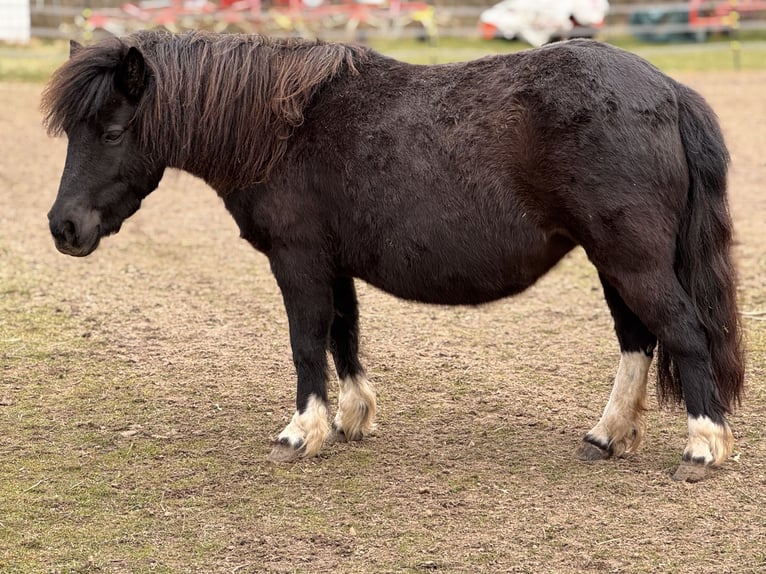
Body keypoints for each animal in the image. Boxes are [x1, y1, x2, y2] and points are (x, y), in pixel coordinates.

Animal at [42, 30, 744, 482]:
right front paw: (351, 419)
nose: (63, 227)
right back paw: (607, 436)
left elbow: (306, 340)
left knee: (682, 332)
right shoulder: (331, 262)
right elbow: (343, 334)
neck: (285, 127)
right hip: (612, 262)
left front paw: (302, 432)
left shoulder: (298, 259)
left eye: (112, 131)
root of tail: (668, 88)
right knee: (637, 341)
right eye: (72, 131)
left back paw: (703, 447)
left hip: (632, 260)